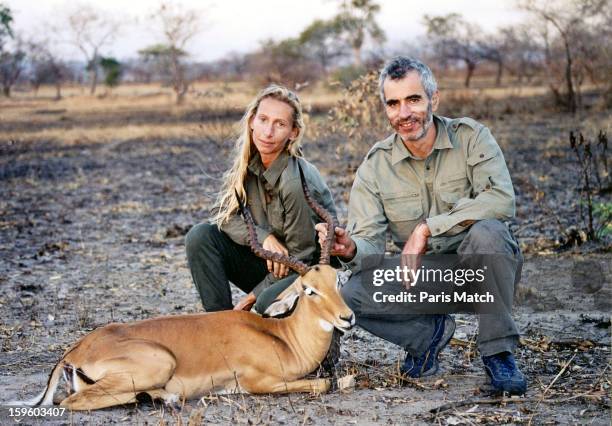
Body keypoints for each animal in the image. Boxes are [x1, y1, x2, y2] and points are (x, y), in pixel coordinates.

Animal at [10, 165, 354, 412]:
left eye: (335, 281)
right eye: (309, 289)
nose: (347, 318)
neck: (283, 338)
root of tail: (75, 350)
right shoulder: (259, 382)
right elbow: (326, 383)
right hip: (160, 363)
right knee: (71, 401)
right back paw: (163, 398)